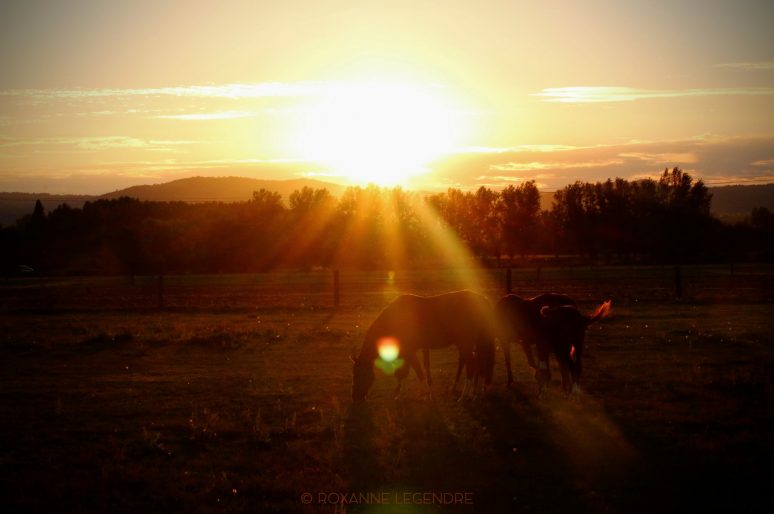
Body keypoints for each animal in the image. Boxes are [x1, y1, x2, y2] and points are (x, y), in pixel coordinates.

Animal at [352, 290, 498, 402]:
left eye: (359, 374)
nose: (355, 397)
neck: (397, 318)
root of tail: (482, 300)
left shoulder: (410, 352)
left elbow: (416, 372)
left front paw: (422, 395)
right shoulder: (417, 350)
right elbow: (413, 370)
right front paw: (402, 393)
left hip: (466, 343)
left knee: (472, 365)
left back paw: (464, 395)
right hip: (468, 343)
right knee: (477, 363)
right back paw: (473, 393)